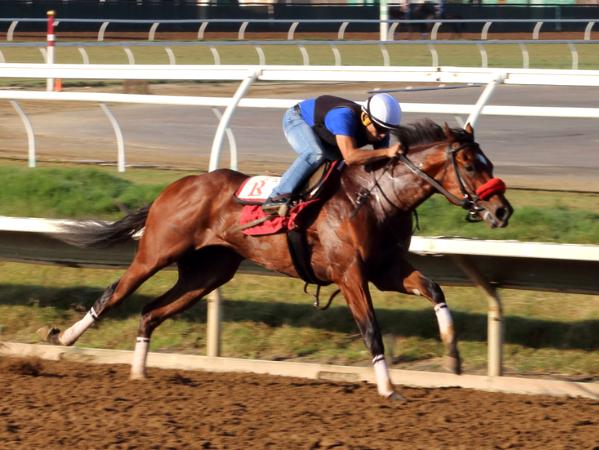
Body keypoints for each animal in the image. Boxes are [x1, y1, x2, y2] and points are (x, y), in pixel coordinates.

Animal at [42, 119, 512, 398]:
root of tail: (173, 188)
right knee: (115, 294)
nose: (503, 210)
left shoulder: (386, 270)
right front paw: (388, 387)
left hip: (208, 273)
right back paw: (64, 338)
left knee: (150, 311)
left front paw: (452, 353)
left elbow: (435, 288)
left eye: (488, 162)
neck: (376, 197)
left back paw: (139, 372)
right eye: (471, 164)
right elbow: (372, 331)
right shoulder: (350, 274)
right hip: (157, 252)